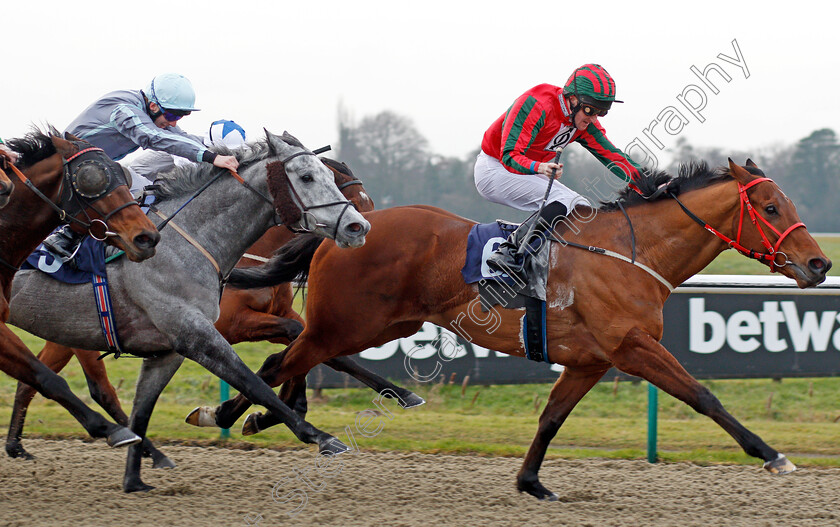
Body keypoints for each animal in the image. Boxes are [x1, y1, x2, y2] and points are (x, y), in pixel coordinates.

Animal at [200, 159, 832, 502]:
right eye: (770, 208)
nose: (820, 264)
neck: (630, 252)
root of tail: (344, 231)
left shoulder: (591, 360)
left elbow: (551, 418)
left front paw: (532, 482)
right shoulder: (633, 347)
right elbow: (704, 395)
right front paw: (772, 455)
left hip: (373, 324)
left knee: (292, 359)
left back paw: (262, 416)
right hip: (349, 323)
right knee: (285, 359)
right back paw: (232, 414)